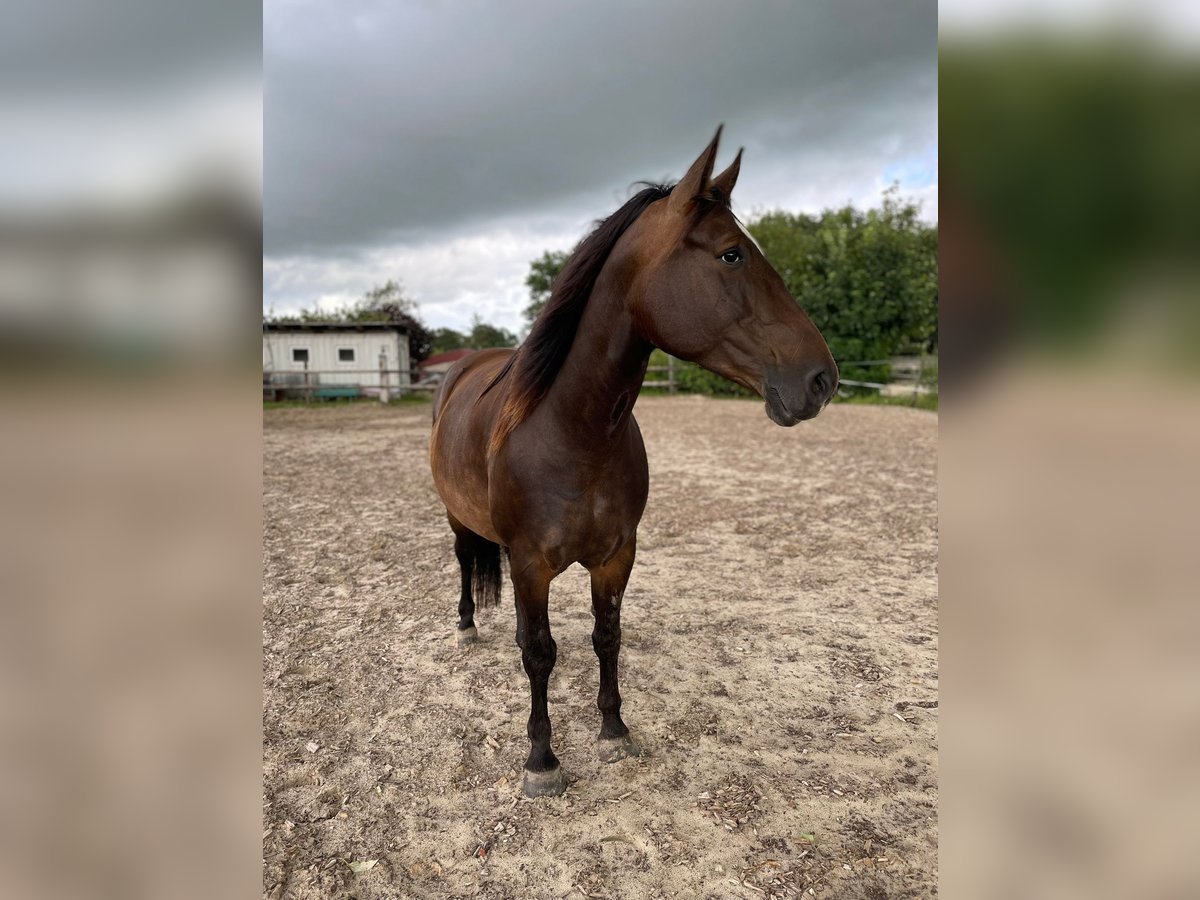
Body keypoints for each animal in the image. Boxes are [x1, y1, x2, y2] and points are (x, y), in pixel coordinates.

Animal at [429, 127, 835, 796]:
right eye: (731, 255)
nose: (822, 379)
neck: (574, 436)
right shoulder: (529, 566)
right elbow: (537, 651)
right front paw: (541, 760)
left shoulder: (617, 556)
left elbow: (606, 636)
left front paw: (615, 731)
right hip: (457, 517)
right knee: (465, 561)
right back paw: (466, 626)